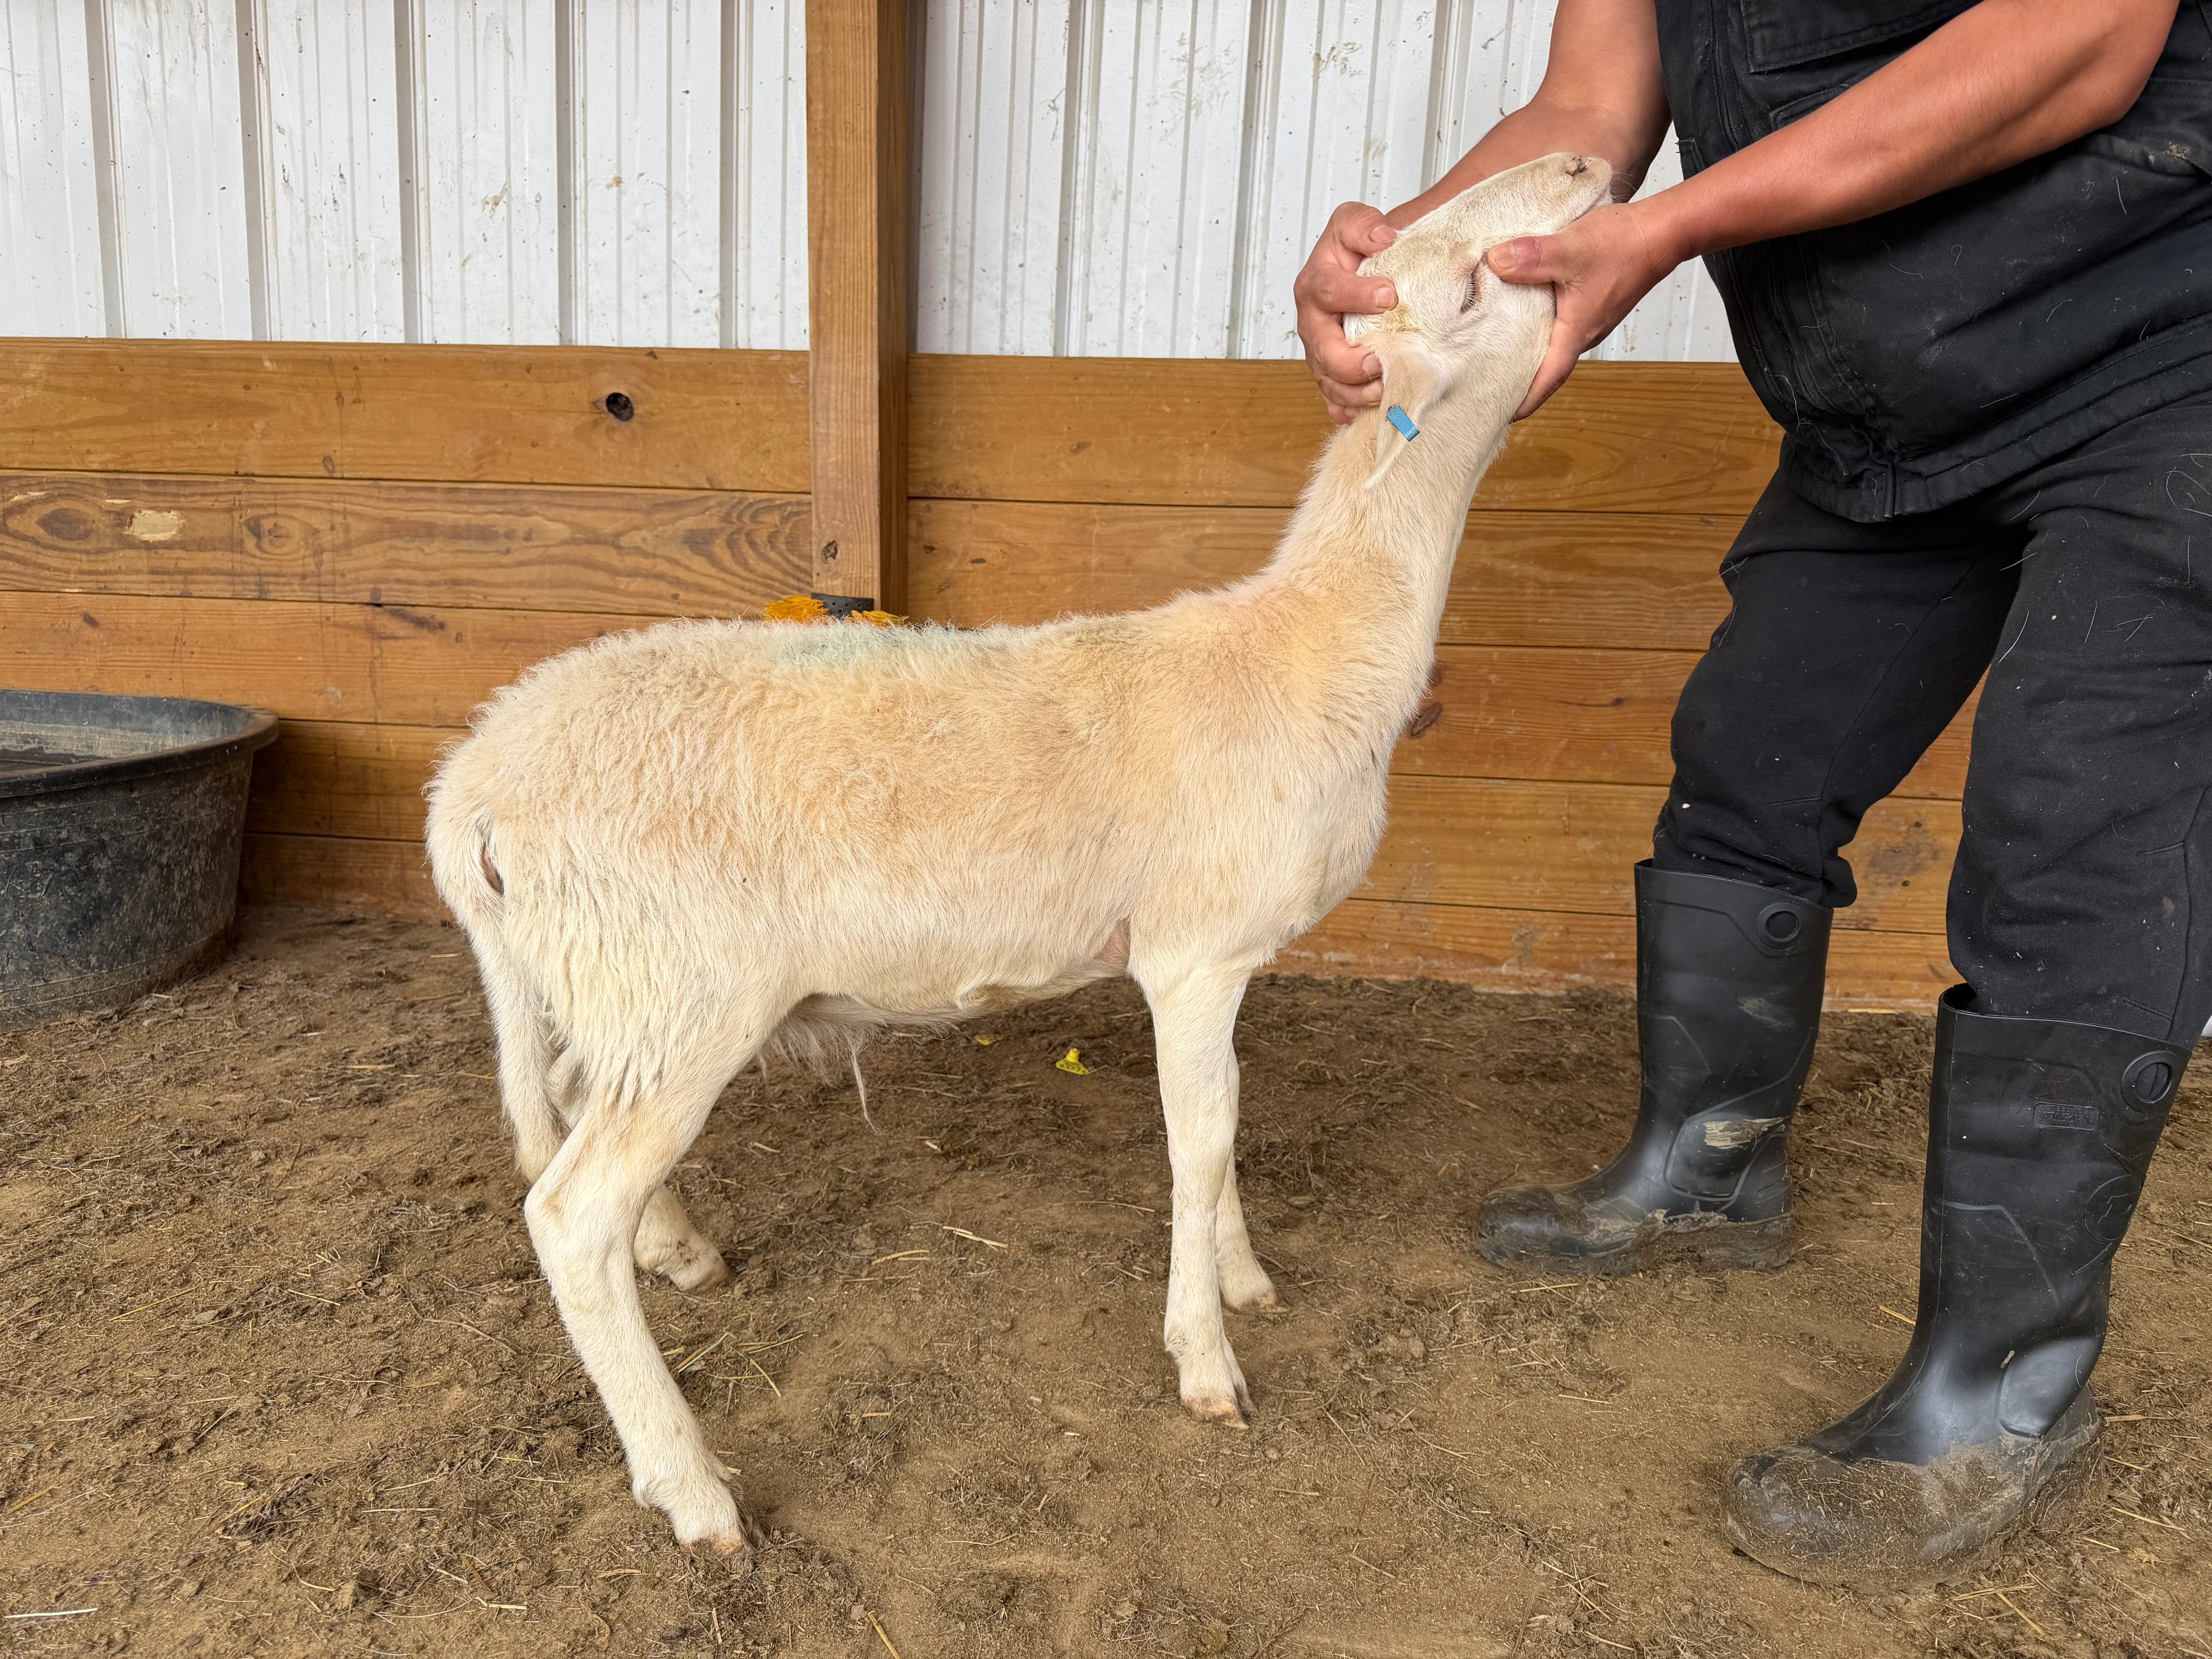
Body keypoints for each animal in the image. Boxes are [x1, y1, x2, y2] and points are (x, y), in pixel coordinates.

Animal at [425, 151, 1612, 1561]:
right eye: (1470, 279)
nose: (1588, 165)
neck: (1307, 652)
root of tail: (473, 787)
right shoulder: (1193, 953)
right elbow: (1202, 1140)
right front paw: (1206, 1360)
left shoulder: (1227, 961)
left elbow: (1225, 1135)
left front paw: (1243, 1279)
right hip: (685, 987)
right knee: (568, 1214)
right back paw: (692, 1484)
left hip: (609, 981)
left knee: (554, 1105)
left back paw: (680, 1252)